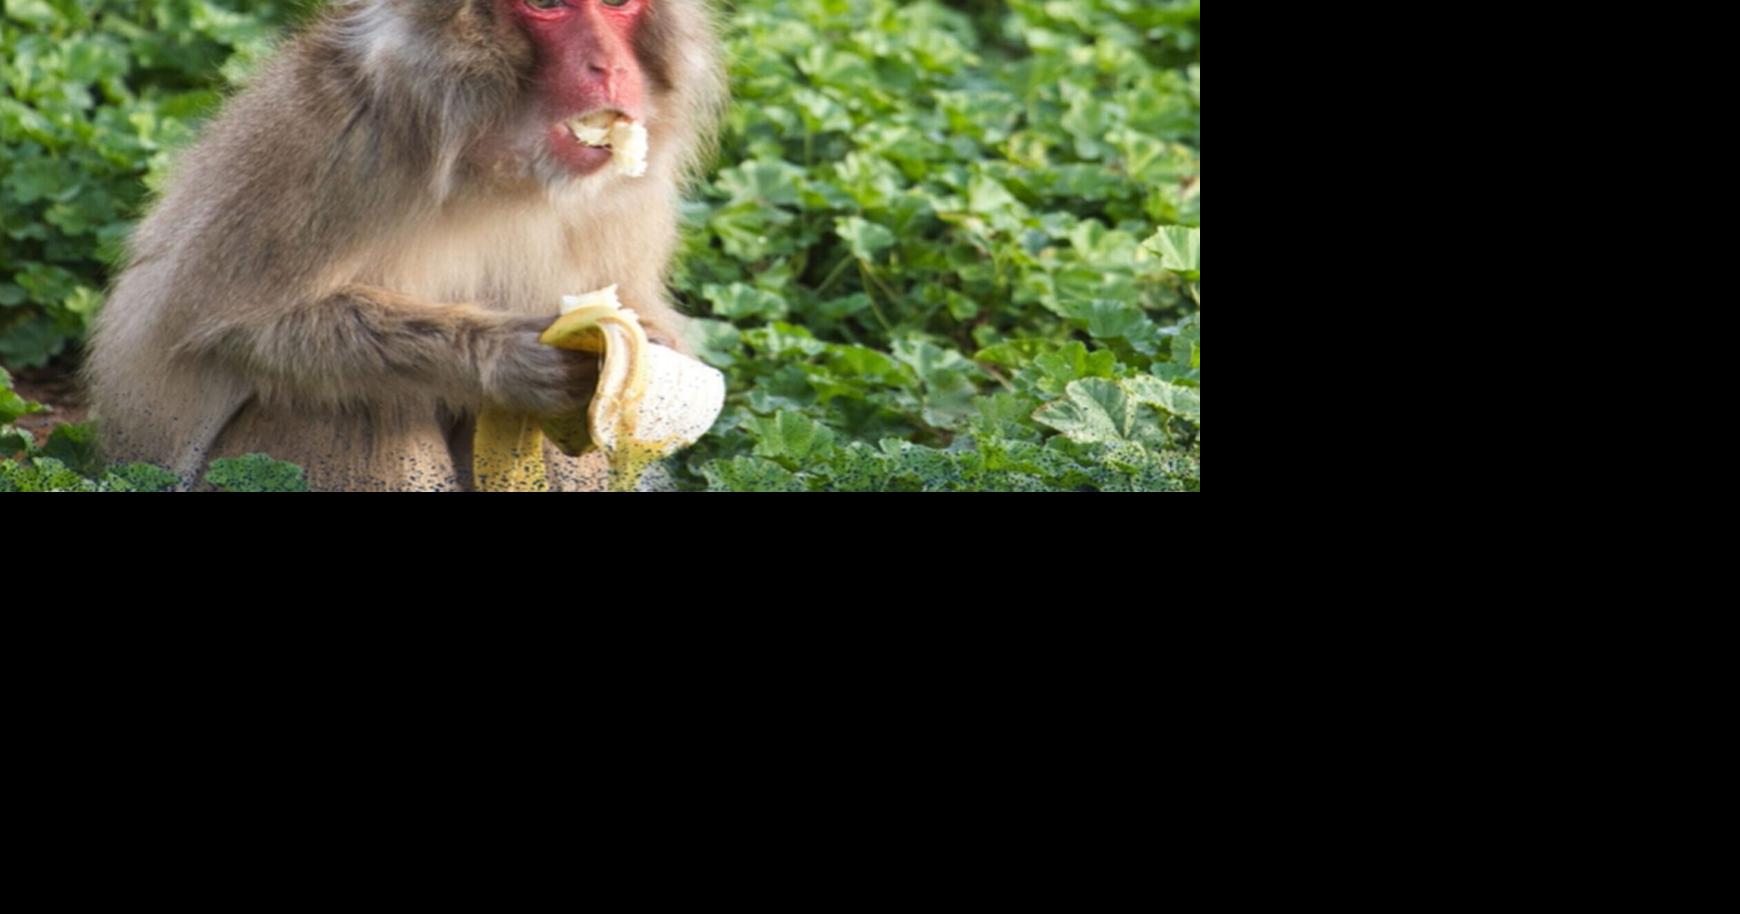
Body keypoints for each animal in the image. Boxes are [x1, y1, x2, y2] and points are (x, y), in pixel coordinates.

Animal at [79, 0, 727, 491]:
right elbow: (230, 326)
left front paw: (654, 342)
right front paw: (505, 357)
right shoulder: (337, 141)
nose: (608, 68)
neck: (497, 169)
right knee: (350, 402)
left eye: (617, 3)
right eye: (546, 5)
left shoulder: (635, 188)